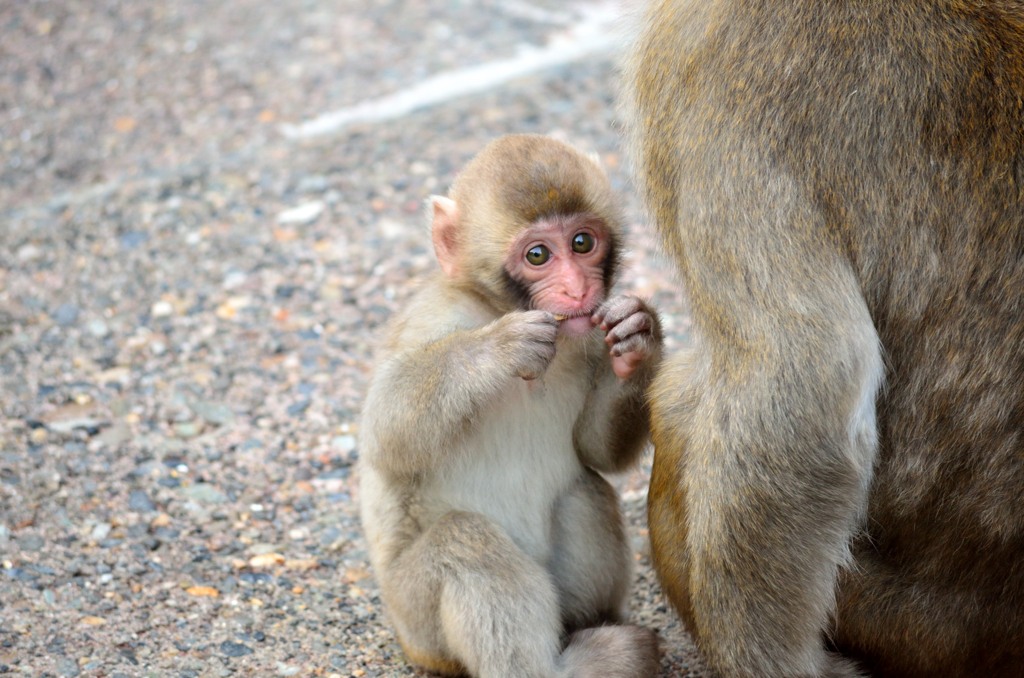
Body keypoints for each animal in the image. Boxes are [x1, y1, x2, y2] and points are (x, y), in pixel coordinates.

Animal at [360, 135, 663, 675]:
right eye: (538, 254)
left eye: (582, 243)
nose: (577, 289)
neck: (497, 307)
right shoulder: (435, 317)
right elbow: (385, 430)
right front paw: (497, 351)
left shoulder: (588, 335)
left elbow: (594, 452)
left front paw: (639, 336)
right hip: (416, 620)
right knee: (465, 543)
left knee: (584, 491)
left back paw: (594, 628)